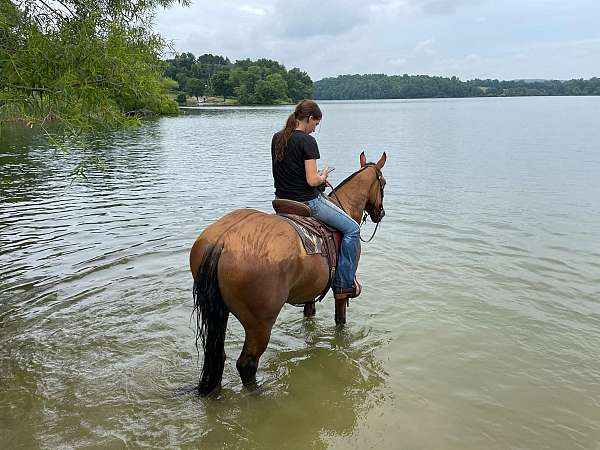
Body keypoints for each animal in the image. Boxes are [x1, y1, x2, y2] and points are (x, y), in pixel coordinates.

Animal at [190, 153, 386, 396]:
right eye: (383, 183)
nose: (381, 213)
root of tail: (222, 240)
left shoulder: (311, 290)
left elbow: (310, 314)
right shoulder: (341, 289)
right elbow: (340, 320)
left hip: (219, 312)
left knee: (218, 355)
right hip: (259, 325)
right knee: (246, 364)